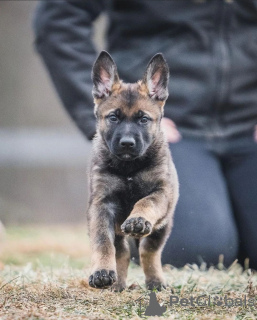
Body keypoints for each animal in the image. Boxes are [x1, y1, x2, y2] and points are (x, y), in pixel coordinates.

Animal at [87, 50, 177, 292]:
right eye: (113, 117)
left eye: (143, 119)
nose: (127, 143)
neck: (129, 167)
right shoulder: (102, 204)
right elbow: (102, 242)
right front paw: (102, 272)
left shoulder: (161, 193)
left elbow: (146, 202)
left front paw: (138, 219)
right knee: (123, 252)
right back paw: (117, 283)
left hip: (163, 225)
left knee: (149, 251)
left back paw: (156, 281)